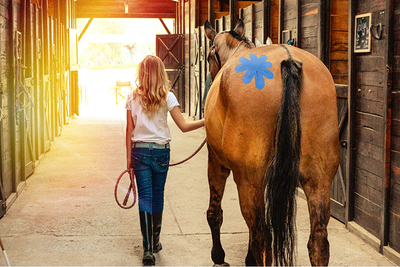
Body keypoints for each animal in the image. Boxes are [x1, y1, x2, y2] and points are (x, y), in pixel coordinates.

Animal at [205, 19, 340, 267]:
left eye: (210, 55)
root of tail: (287, 61)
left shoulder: (216, 162)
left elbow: (215, 213)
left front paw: (218, 255)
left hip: (249, 181)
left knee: (262, 237)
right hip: (319, 180)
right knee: (318, 240)